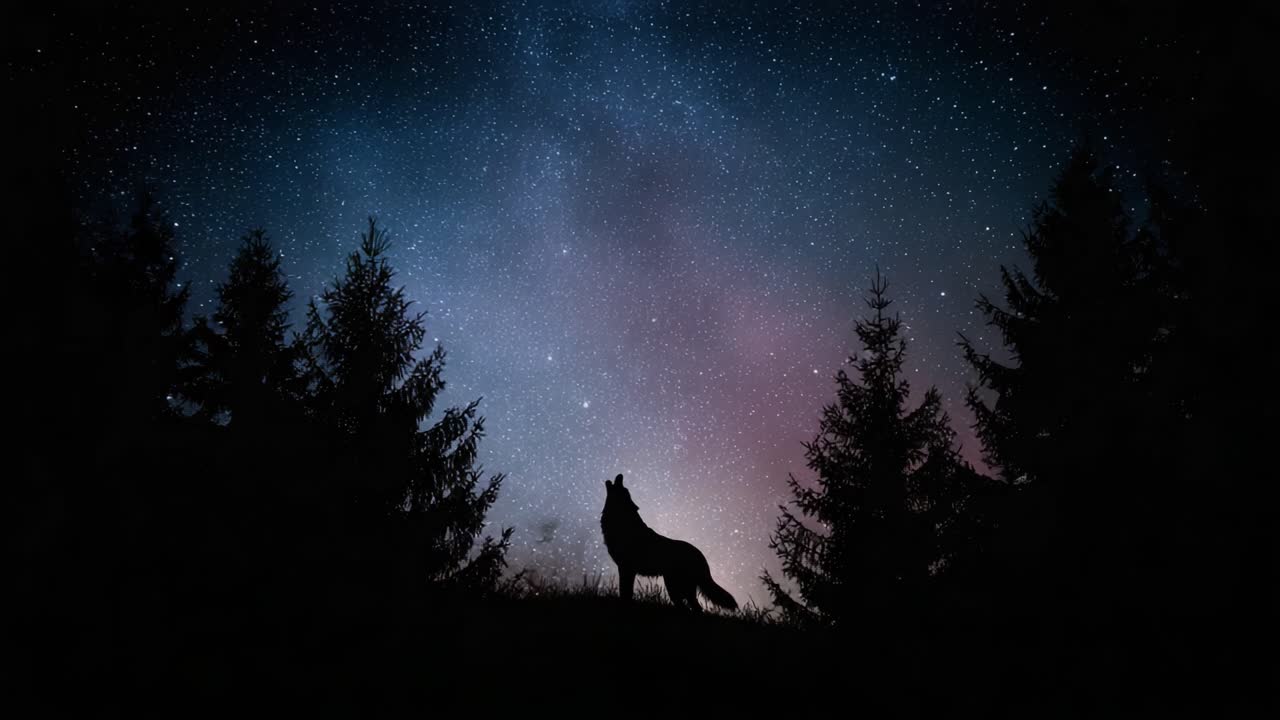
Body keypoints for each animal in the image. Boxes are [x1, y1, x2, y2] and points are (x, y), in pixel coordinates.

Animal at [600, 474, 738, 611]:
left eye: (624, 488)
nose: (621, 475)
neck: (623, 521)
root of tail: (700, 555)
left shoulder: (627, 568)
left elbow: (625, 593)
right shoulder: (625, 568)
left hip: (675, 587)